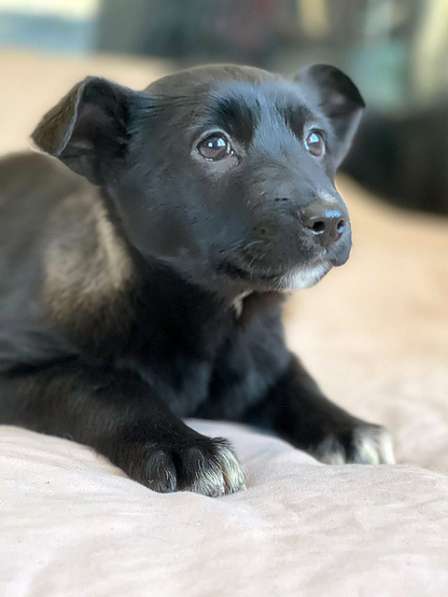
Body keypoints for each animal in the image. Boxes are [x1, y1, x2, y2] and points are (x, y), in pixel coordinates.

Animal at [0, 62, 392, 496]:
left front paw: (347, 427)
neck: (219, 319)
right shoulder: (19, 368)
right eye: (215, 145)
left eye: (316, 140)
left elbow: (298, 382)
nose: (331, 221)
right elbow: (103, 386)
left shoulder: (266, 359)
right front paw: (184, 447)